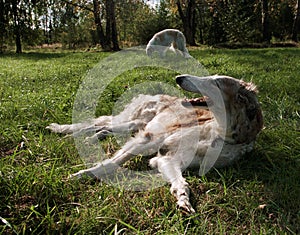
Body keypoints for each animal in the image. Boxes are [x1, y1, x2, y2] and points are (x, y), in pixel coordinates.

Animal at [46, 75, 262, 213]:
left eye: (216, 82)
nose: (179, 78)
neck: (218, 134)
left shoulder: (167, 158)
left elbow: (181, 182)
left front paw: (183, 199)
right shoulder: (151, 140)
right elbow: (110, 163)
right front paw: (80, 175)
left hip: (137, 123)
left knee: (104, 126)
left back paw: (89, 137)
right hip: (137, 121)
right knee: (95, 122)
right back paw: (60, 129)